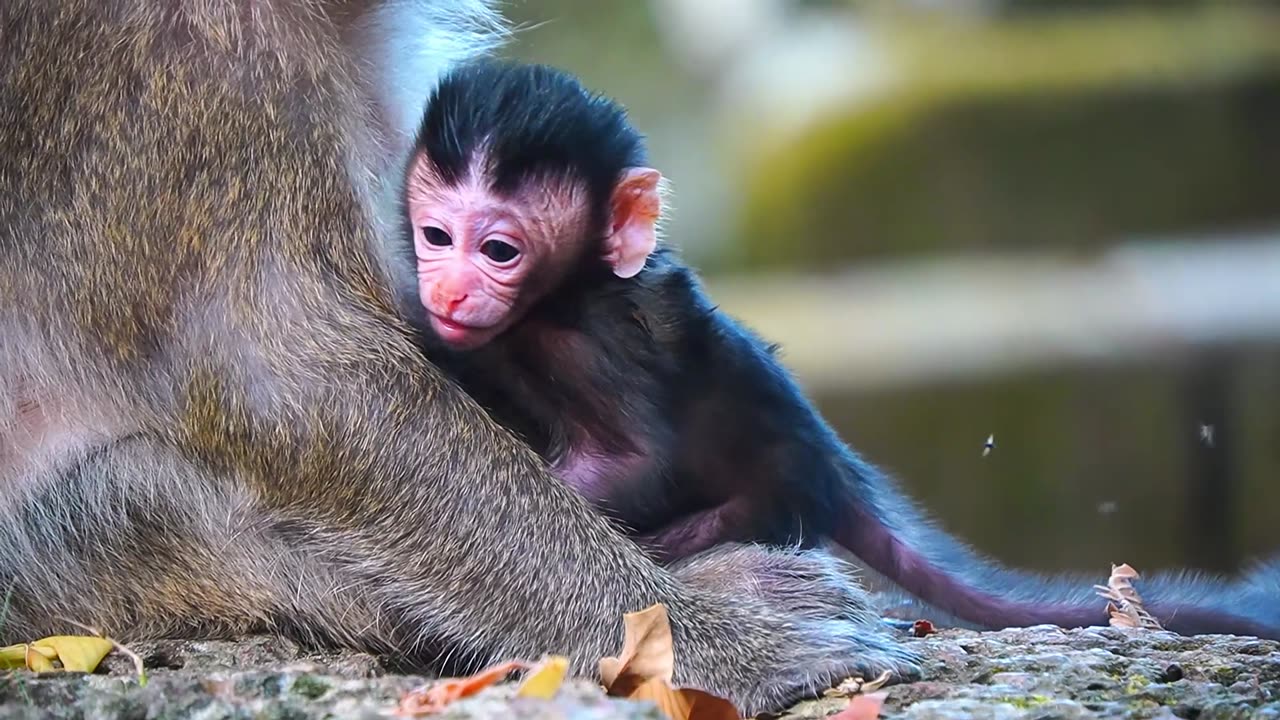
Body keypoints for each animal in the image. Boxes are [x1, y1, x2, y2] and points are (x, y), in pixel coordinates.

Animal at [399, 59, 1280, 640]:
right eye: (435, 236)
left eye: (499, 250)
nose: (451, 292)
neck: (560, 299)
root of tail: (828, 468)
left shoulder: (599, 344)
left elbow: (636, 462)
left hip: (767, 499)